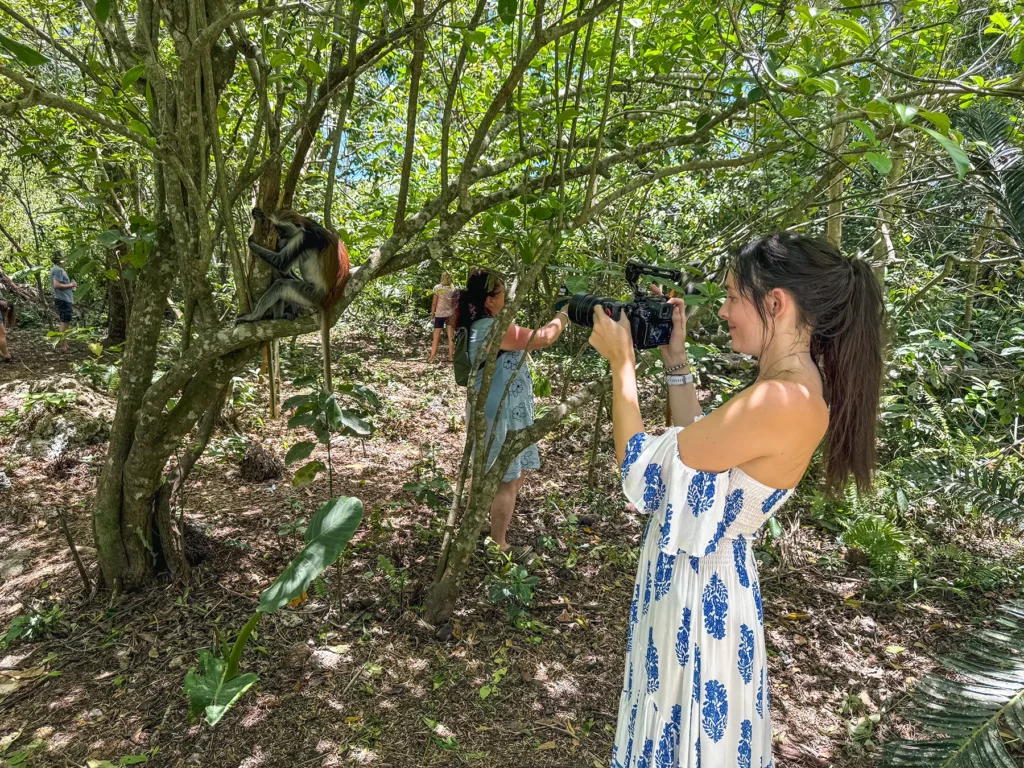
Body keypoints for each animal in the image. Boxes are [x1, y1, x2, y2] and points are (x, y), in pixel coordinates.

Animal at [236, 208, 350, 391]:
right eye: (277, 230)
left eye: (282, 230)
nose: (280, 238)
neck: (305, 225)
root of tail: (328, 299)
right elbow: (284, 268)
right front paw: (260, 215)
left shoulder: (301, 239)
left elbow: (281, 264)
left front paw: (250, 241)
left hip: (310, 295)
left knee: (280, 284)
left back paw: (254, 316)